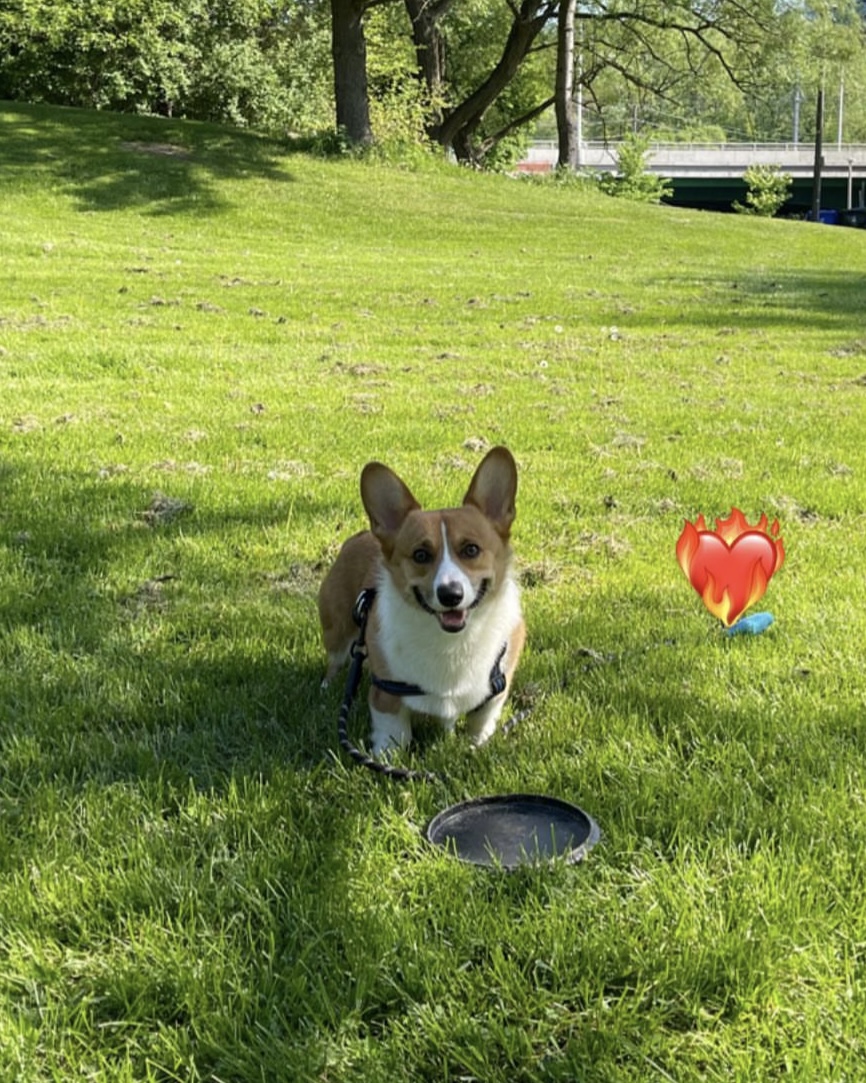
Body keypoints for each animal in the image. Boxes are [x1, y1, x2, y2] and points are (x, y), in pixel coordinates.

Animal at [318, 446, 525, 756]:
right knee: (335, 662)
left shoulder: (496, 689)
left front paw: (477, 745)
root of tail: (362, 534)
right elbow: (395, 734)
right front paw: (386, 757)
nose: (450, 595)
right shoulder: (387, 695)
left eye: (471, 549)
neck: (452, 642)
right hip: (337, 632)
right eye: (420, 555)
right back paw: (326, 689)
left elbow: (481, 721)